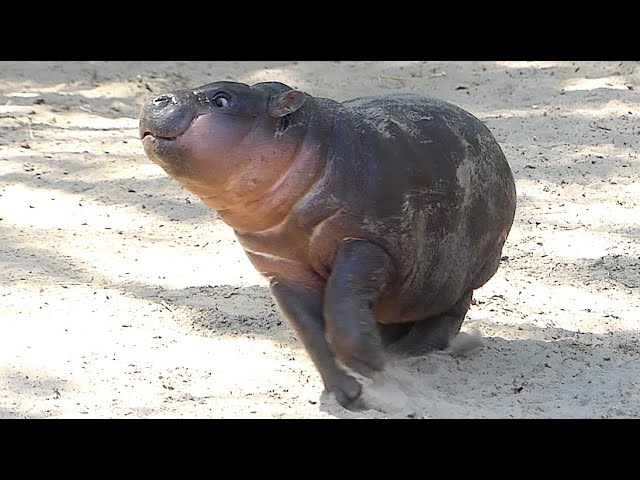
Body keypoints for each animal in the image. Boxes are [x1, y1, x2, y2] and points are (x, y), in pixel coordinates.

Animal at [139, 80, 517, 409]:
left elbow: (340, 306)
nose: (159, 98)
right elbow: (313, 334)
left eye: (221, 99)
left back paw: (412, 350)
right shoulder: (283, 270)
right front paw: (351, 394)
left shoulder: (367, 246)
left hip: (470, 269)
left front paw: (372, 367)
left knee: (451, 309)